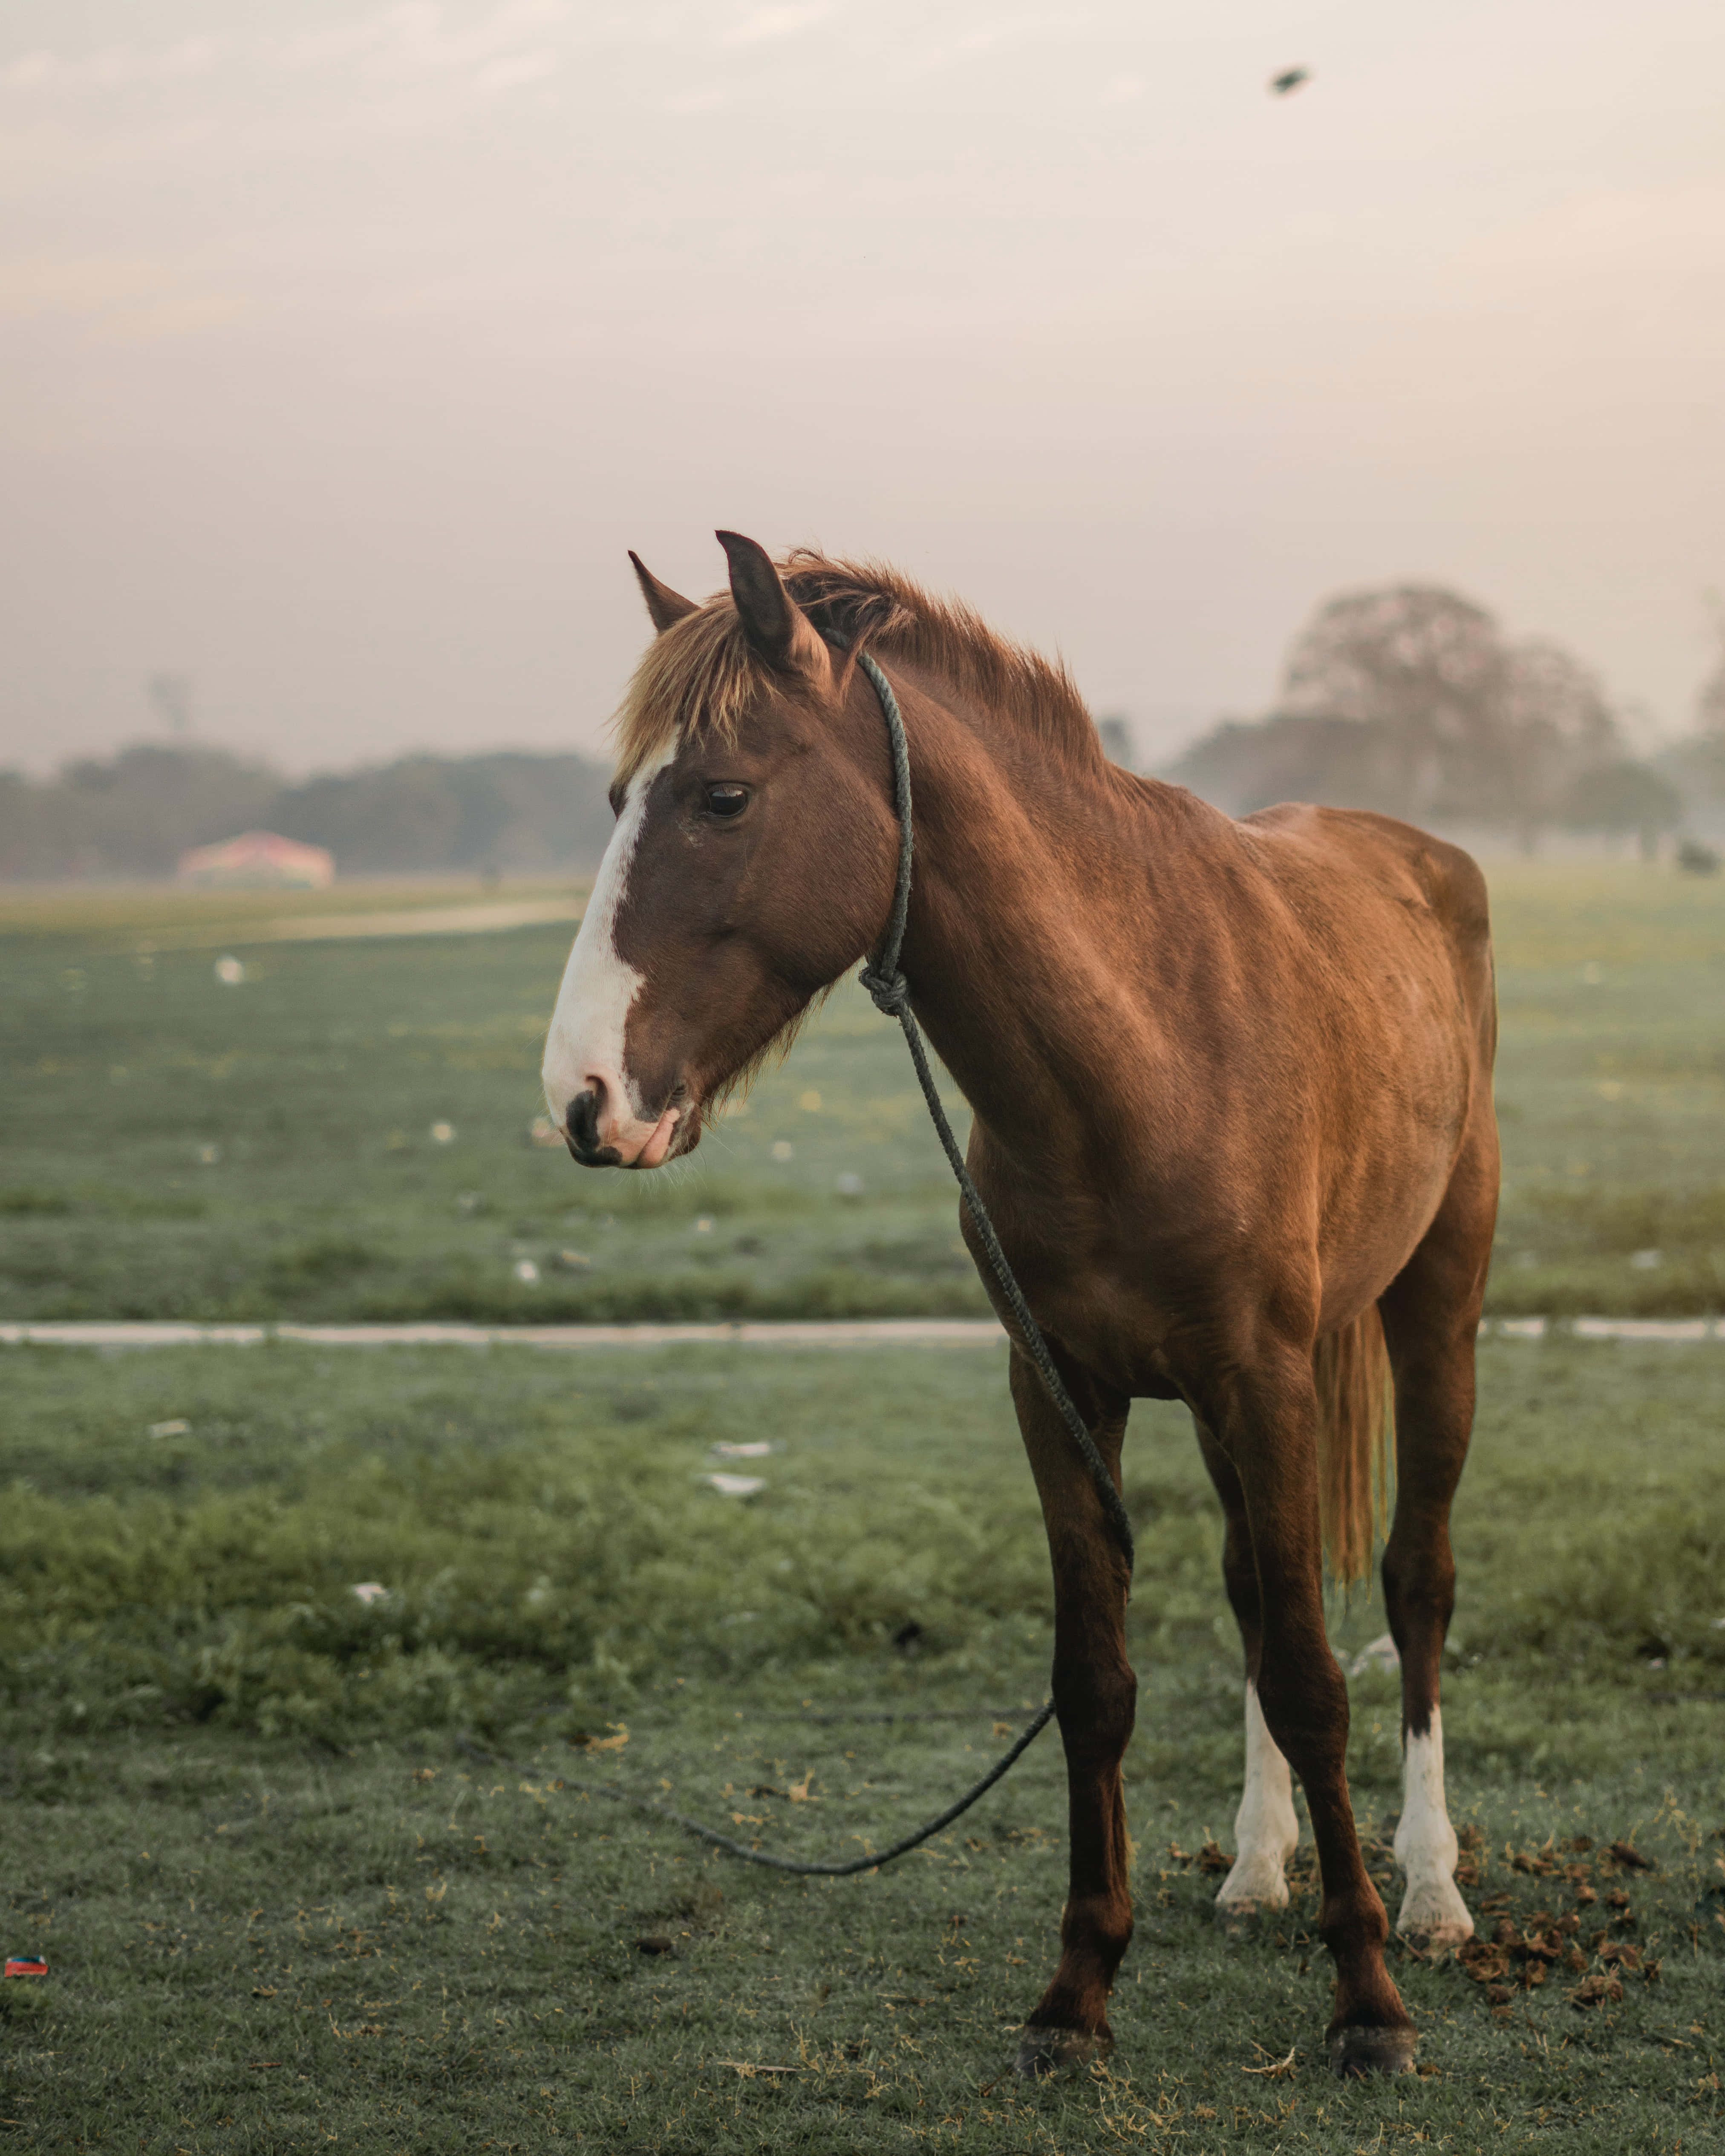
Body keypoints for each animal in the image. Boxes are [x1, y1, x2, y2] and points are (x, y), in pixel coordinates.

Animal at [541, 532, 1498, 2080]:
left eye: (722, 795)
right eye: (623, 799)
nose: (582, 1100)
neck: (1141, 1053)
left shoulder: (1265, 1379)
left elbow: (1311, 1673)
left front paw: (1364, 2001)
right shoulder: (1063, 1392)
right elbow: (1100, 1679)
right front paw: (1077, 1990)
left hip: (1434, 1315)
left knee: (1412, 1582)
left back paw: (1427, 1891)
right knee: (1254, 1586)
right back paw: (1256, 1866)